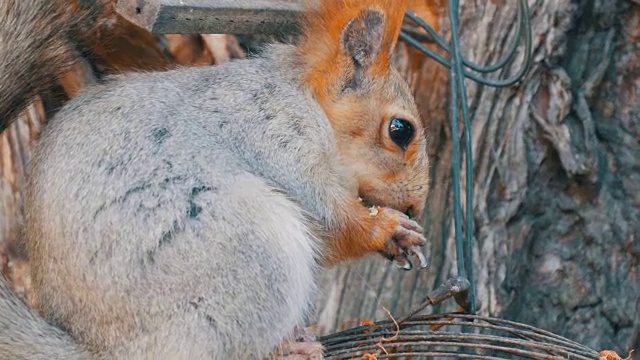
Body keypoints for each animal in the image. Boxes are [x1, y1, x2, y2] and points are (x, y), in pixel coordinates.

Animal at [1, 0, 430, 358]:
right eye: (400, 130)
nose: (415, 207)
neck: (310, 103)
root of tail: (105, 351)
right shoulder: (274, 133)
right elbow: (330, 220)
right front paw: (388, 230)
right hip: (249, 251)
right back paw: (286, 350)